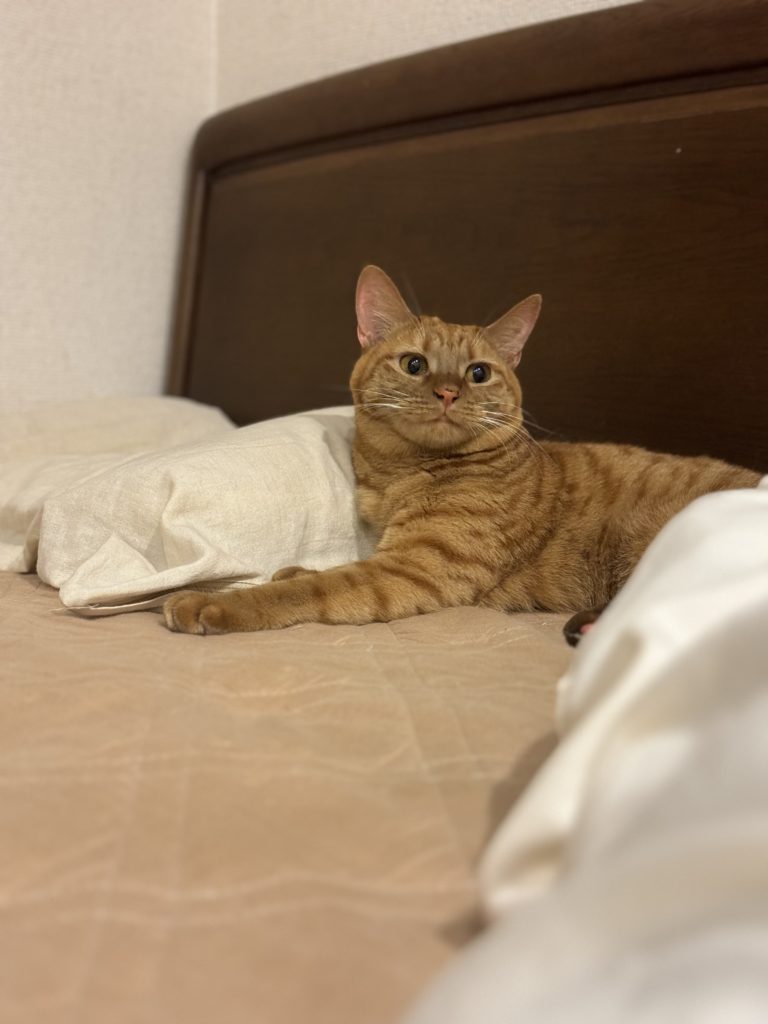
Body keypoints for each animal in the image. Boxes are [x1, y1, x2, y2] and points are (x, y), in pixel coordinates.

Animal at [163, 265, 760, 637]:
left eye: (477, 373)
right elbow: (326, 570)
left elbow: (322, 586)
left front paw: (218, 600)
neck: (398, 473)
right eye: (415, 364)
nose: (449, 391)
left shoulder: (413, 569)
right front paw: (294, 570)